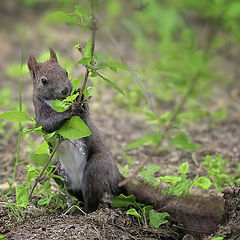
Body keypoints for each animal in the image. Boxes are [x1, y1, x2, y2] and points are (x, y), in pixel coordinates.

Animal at [28, 48, 229, 238]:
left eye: (66, 72)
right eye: (43, 81)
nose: (64, 91)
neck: (56, 103)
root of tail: (116, 178)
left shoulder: (84, 122)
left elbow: (84, 115)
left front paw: (79, 96)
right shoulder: (39, 115)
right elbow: (48, 124)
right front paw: (69, 109)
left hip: (97, 167)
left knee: (92, 197)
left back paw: (85, 211)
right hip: (57, 171)